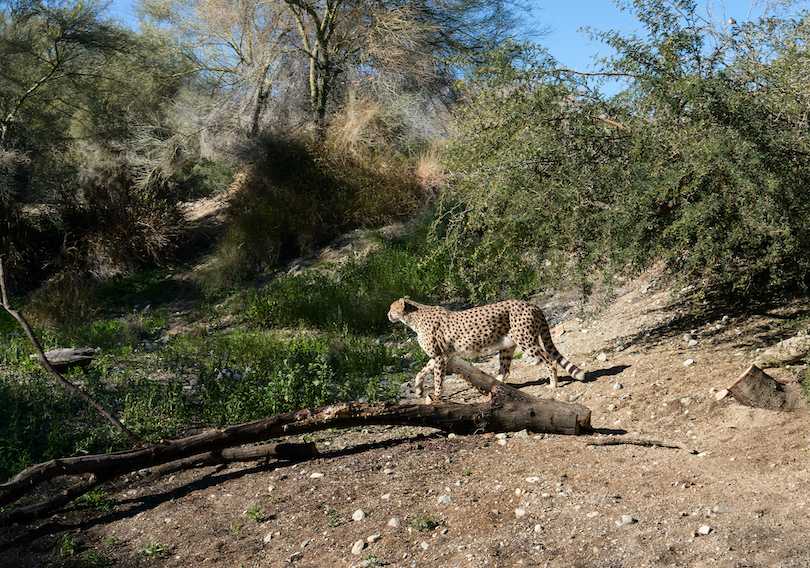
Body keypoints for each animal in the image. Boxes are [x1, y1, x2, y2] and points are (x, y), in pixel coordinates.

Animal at [388, 296, 584, 402]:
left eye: (391, 308)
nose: (388, 315)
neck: (414, 317)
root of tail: (531, 304)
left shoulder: (439, 357)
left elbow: (437, 379)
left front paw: (436, 396)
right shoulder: (440, 356)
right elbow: (420, 372)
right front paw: (419, 389)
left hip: (526, 342)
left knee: (550, 360)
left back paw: (553, 385)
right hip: (507, 346)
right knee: (504, 370)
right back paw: (496, 388)